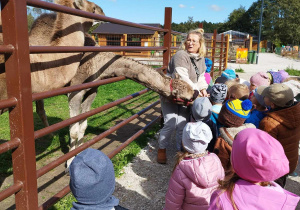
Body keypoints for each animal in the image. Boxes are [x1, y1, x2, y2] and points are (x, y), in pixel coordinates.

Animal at [28, 12, 195, 167]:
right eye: (183, 98)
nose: (195, 95)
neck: (97, 63)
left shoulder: (92, 90)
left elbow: (83, 126)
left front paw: (80, 154)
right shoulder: (74, 91)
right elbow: (74, 130)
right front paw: (69, 163)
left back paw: (49, 133)